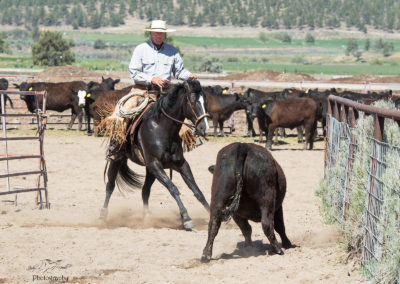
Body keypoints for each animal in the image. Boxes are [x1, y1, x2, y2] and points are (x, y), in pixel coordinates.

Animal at [101, 79, 209, 230]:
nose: (205, 128)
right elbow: (173, 188)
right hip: (117, 159)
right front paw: (186, 218)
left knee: (145, 191)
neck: (162, 129)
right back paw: (103, 215)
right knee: (110, 186)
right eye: (193, 101)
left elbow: (197, 191)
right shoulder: (155, 165)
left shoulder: (180, 164)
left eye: (205, 101)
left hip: (149, 171)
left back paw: (147, 217)